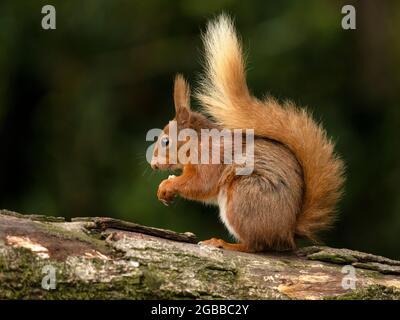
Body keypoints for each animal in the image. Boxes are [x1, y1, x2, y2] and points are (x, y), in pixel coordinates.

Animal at [150, 14, 344, 252]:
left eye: (166, 142)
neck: (198, 142)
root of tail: (287, 234)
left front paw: (168, 185)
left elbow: (201, 184)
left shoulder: (211, 157)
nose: (153, 165)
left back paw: (224, 243)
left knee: (255, 245)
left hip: (243, 197)